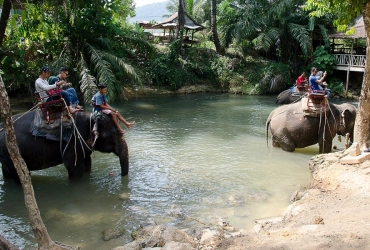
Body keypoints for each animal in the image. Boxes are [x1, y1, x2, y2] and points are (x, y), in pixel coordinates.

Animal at [0, 110, 130, 183]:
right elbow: (74, 167)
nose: (114, 174)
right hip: (10, 153)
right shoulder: (72, 141)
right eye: (112, 136)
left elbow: (87, 163)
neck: (90, 117)